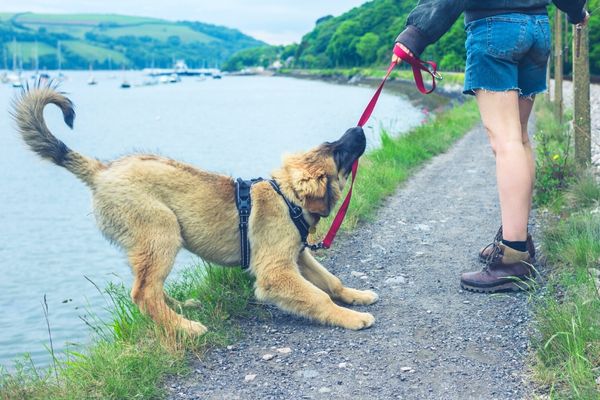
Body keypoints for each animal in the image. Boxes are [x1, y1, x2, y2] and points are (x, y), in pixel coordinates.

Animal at [12, 86, 380, 334]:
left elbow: (331, 282)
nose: (358, 128)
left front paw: (356, 296)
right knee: (143, 293)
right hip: (161, 232)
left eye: (331, 145)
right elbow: (318, 297)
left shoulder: (299, 256)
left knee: (150, 288)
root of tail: (101, 171)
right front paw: (351, 318)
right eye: (338, 152)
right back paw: (184, 328)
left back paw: (181, 310)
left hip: (150, 243)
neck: (287, 197)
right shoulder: (276, 271)